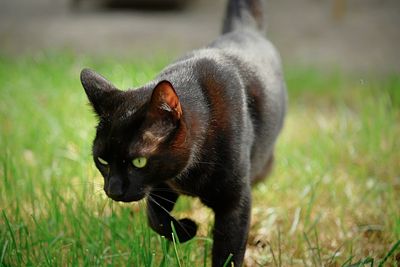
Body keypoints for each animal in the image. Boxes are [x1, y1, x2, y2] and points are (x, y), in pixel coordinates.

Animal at [81, 0, 286, 266]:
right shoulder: (162, 184)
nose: (112, 190)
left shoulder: (235, 203)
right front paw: (187, 229)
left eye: (138, 162)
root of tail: (245, 30)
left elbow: (228, 253)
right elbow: (155, 218)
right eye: (102, 160)